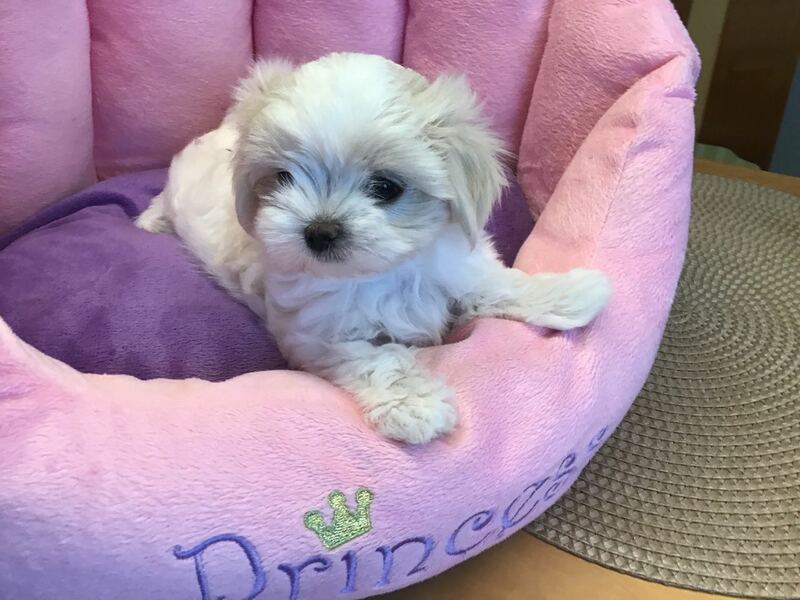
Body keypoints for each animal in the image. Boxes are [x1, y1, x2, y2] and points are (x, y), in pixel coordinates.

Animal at [136, 52, 612, 444]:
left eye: (386, 187)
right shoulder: (317, 335)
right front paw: (415, 406)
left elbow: (496, 284)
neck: (387, 271)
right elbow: (380, 358)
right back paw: (149, 223)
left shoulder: (458, 269)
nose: (320, 230)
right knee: (162, 202)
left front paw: (572, 294)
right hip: (178, 188)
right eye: (284, 177)